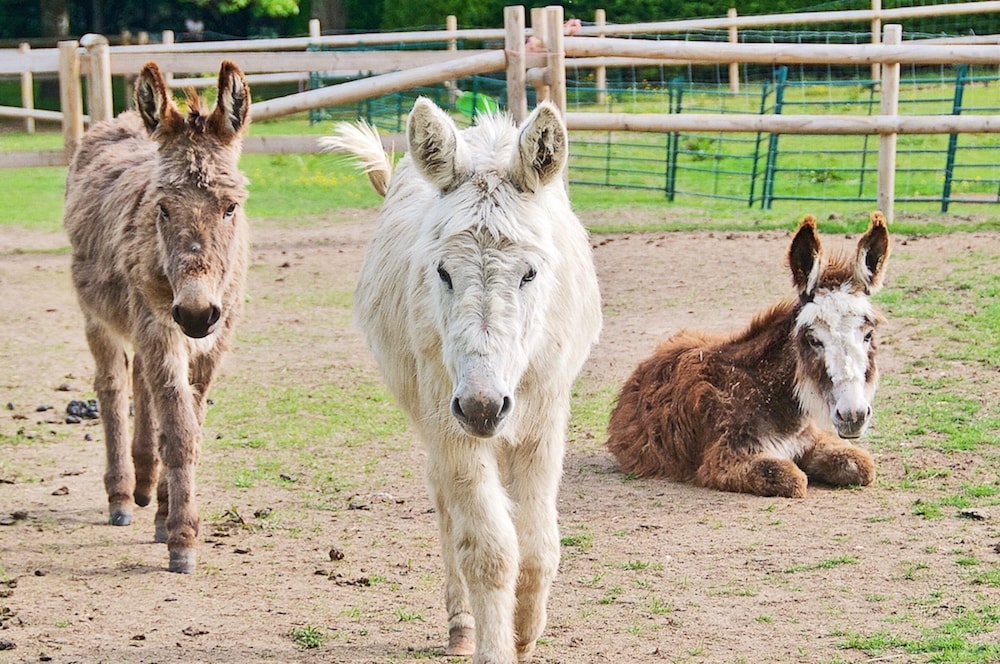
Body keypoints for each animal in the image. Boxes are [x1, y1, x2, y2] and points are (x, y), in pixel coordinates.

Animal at [63, 60, 251, 573]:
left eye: (231, 207)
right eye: (162, 209)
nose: (196, 313)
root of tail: (126, 117)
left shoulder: (214, 339)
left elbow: (188, 424)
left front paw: (169, 516)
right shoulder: (160, 325)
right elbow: (180, 429)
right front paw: (182, 540)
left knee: (143, 384)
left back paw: (150, 488)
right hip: (99, 317)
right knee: (113, 386)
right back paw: (123, 497)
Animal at [323, 98, 602, 662]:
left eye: (530, 273)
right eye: (443, 272)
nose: (482, 406)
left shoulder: (543, 422)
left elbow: (537, 547)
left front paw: (524, 634)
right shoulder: (450, 422)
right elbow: (489, 551)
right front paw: (496, 646)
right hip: (431, 415)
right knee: (445, 501)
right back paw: (461, 626)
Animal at [606, 212, 890, 498]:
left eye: (868, 335)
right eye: (813, 339)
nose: (853, 416)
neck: (767, 394)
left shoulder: (810, 439)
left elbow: (862, 466)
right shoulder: (725, 460)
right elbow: (794, 478)